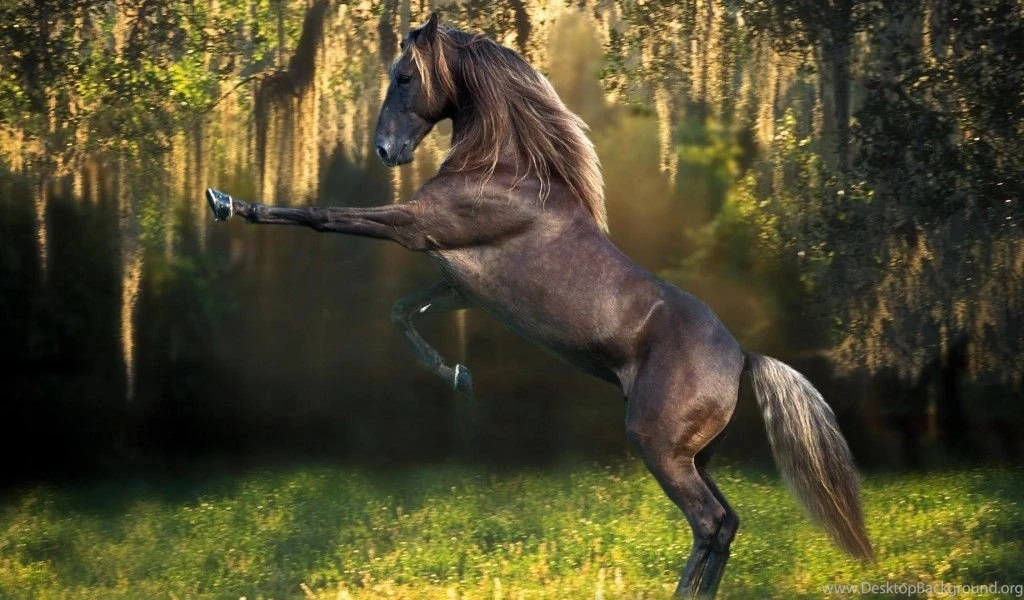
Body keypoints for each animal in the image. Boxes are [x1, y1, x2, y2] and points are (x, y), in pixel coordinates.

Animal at [205, 13, 872, 598]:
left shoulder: (415, 227)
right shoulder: (460, 285)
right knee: (726, 524)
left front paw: (228, 203)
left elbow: (323, 216)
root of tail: (743, 358)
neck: (503, 171)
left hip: (659, 445)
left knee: (709, 522)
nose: (385, 150)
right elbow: (402, 311)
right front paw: (459, 376)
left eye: (404, 77)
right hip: (695, 454)